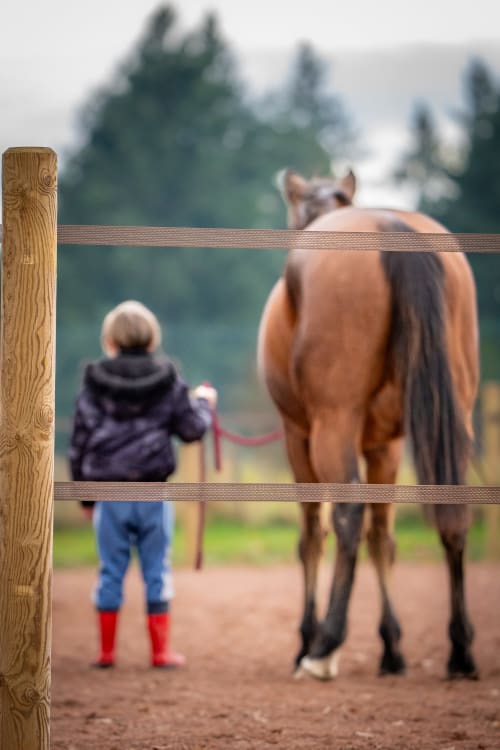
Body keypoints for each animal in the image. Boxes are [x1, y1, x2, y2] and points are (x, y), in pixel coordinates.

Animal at [257, 168, 480, 681]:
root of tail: (388, 226)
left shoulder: (299, 439)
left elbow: (312, 537)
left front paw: (307, 641)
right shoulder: (386, 446)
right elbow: (384, 538)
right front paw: (392, 648)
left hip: (331, 430)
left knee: (345, 518)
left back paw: (324, 648)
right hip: (451, 417)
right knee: (448, 518)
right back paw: (460, 652)